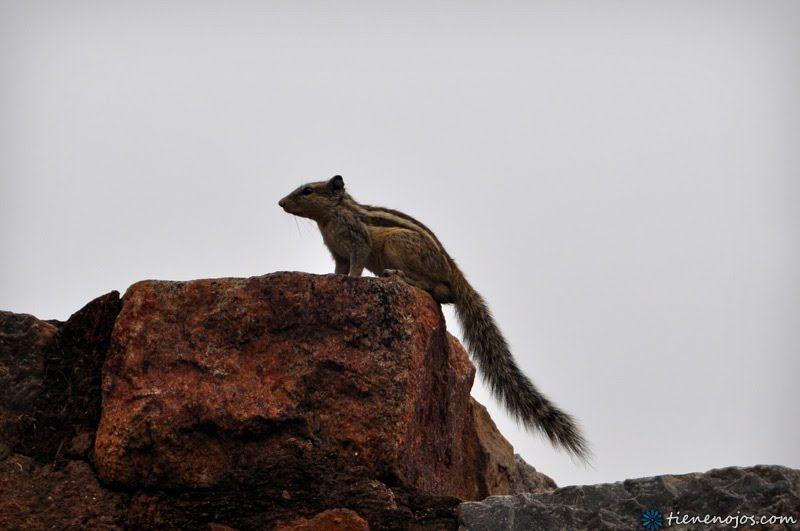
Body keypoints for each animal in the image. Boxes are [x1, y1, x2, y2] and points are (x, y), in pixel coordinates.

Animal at [280, 176, 588, 462]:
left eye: (308, 190)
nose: (281, 203)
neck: (331, 217)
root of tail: (453, 269)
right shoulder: (338, 253)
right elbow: (339, 269)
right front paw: (330, 277)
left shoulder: (357, 244)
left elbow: (356, 266)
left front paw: (352, 281)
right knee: (442, 294)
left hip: (397, 245)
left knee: (439, 290)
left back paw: (399, 276)